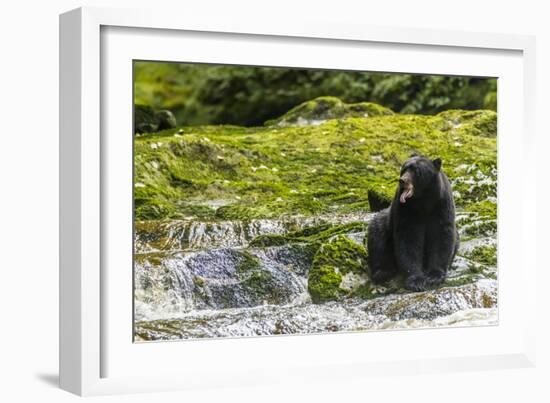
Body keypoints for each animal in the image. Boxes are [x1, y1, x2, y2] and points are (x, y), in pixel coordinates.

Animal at [370, 155, 462, 290]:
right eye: (404, 169)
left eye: (416, 171)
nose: (402, 180)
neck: (423, 201)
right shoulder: (406, 209)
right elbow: (409, 239)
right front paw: (416, 280)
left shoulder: (441, 205)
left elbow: (442, 236)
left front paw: (434, 276)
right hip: (384, 224)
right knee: (377, 236)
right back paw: (382, 272)